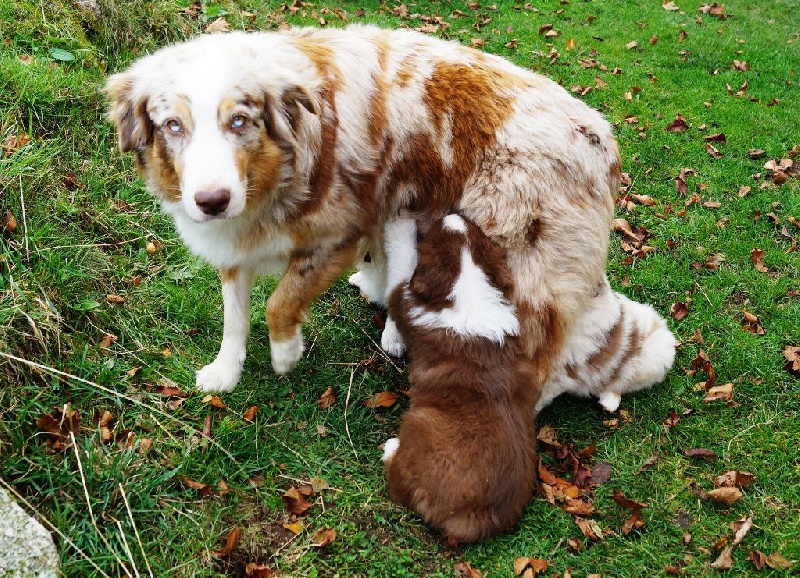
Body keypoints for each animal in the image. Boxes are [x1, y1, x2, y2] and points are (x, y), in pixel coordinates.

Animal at [380, 214, 536, 544]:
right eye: (477, 230)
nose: (452, 215)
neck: (469, 280)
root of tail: (471, 520)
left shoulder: (403, 296)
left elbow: (402, 256)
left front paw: (400, 222)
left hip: (417, 423)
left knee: (398, 482)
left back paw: (390, 448)